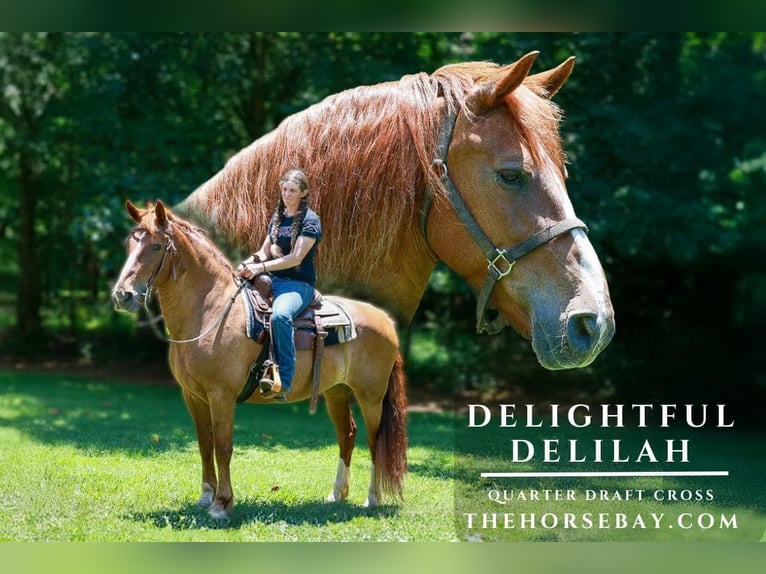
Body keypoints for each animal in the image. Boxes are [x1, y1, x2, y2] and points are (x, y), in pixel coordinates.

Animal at [111, 200, 407, 520]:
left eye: (155, 246)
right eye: (130, 243)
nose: (122, 295)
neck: (209, 309)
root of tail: (385, 321)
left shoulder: (221, 395)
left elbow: (223, 447)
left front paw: (222, 504)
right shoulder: (194, 396)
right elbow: (204, 445)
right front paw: (205, 497)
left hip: (370, 396)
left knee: (374, 441)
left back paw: (372, 498)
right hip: (336, 392)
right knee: (347, 435)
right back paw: (336, 494)